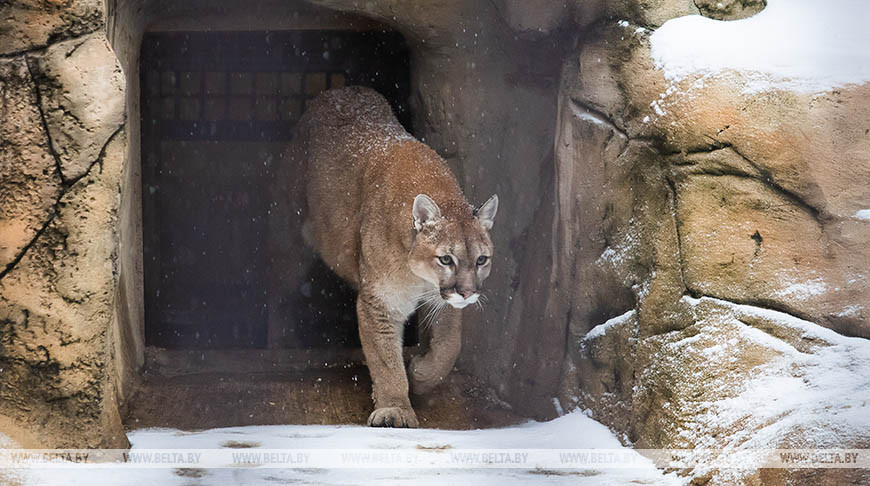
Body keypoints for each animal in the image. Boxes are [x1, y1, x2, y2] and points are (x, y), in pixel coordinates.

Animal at [292, 85, 498, 428]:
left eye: (481, 260)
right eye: (446, 259)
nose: (468, 292)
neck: (418, 276)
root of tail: (340, 90)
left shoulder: (441, 299)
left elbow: (449, 345)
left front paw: (422, 373)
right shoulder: (380, 301)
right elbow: (386, 360)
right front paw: (395, 409)